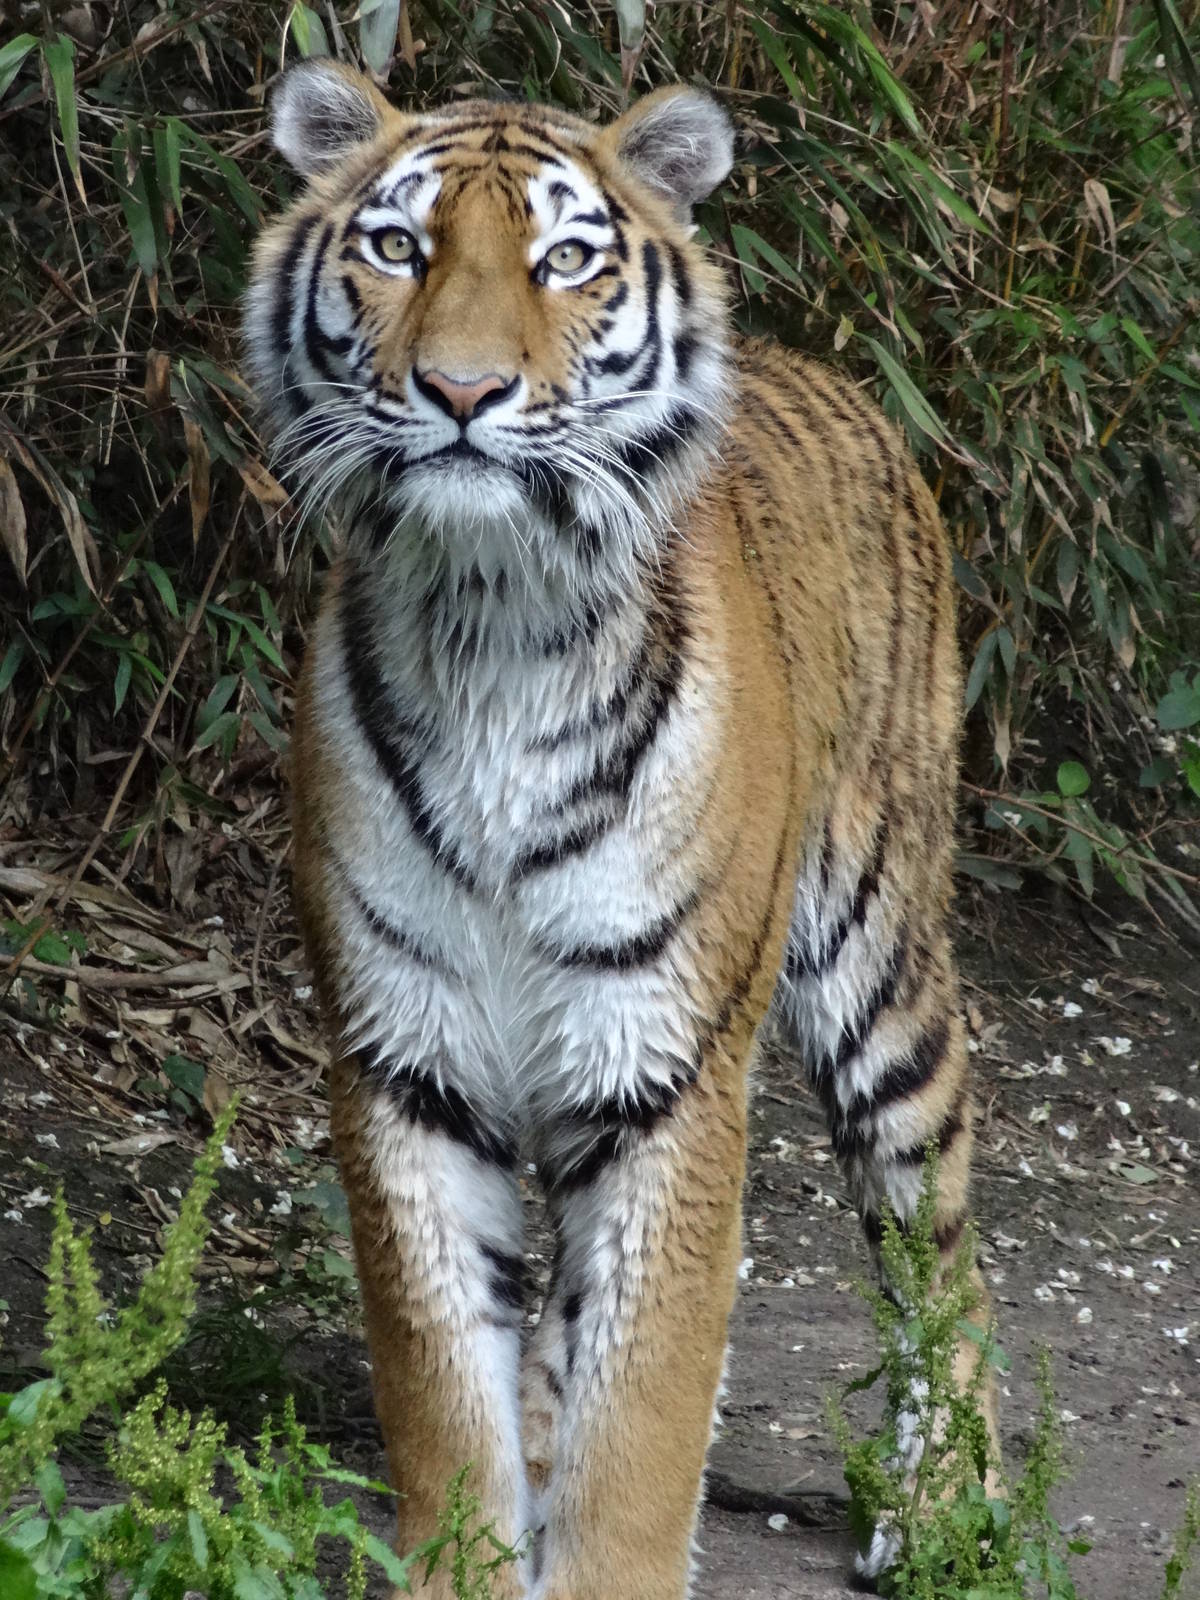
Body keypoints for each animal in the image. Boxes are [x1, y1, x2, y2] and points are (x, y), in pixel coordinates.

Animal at [244, 59, 997, 1600]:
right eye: (396, 246)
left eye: (565, 260)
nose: (462, 389)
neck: (491, 619)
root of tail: (846, 381)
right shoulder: (401, 1052)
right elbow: (443, 1378)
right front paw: (480, 1549)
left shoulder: (667, 1064)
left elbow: (646, 1404)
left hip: (879, 963)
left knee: (941, 1233)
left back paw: (949, 1506)